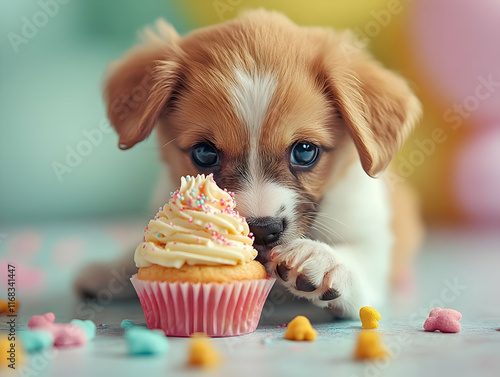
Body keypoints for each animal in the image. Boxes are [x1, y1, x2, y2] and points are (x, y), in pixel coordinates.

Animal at [77, 9, 422, 318]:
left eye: (305, 151)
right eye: (205, 154)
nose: (262, 229)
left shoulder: (372, 240)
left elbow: (359, 262)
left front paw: (324, 261)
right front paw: (110, 270)